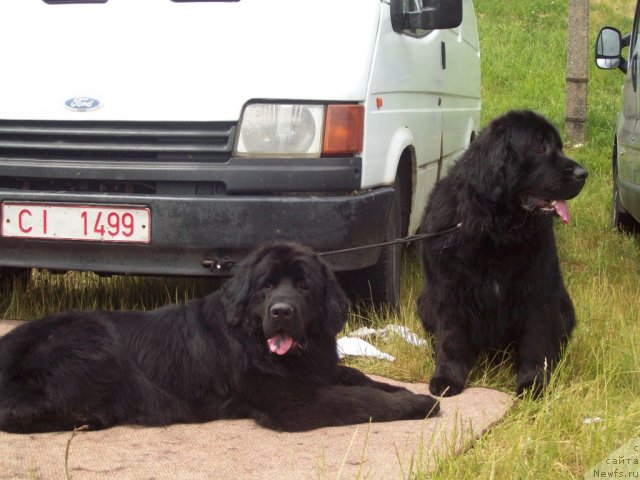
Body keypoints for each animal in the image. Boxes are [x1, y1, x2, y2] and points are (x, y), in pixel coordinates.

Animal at [0, 242, 440, 434]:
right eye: (266, 286)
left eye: (303, 286)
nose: (281, 312)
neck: (254, 341)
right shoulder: (291, 401)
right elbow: (356, 398)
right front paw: (417, 404)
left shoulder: (316, 370)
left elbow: (359, 377)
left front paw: (405, 392)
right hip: (95, 345)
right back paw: (91, 416)